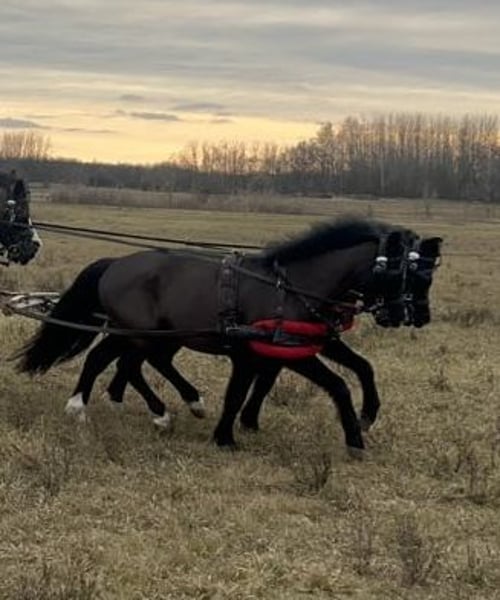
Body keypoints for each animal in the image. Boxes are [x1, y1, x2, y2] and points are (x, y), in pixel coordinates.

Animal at [15, 217, 440, 455]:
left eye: (427, 276)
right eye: (402, 274)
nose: (416, 316)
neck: (292, 286)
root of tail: (115, 263)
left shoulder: (297, 345)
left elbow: (361, 368)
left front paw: (368, 415)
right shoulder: (279, 351)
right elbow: (333, 385)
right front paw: (354, 439)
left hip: (147, 334)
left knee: (119, 360)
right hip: (141, 333)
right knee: (125, 363)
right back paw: (130, 408)